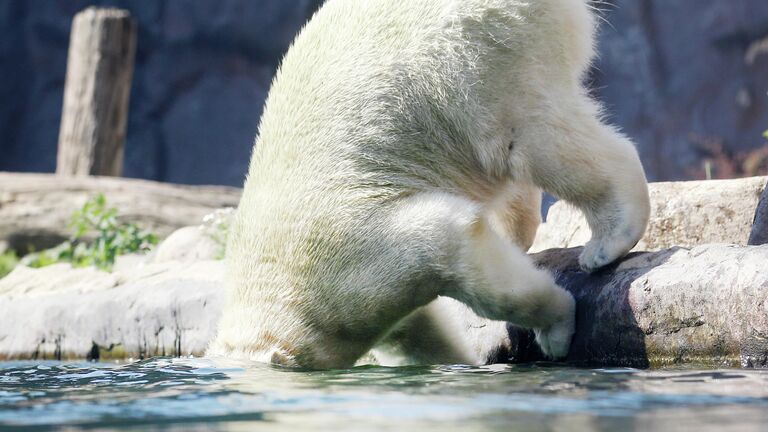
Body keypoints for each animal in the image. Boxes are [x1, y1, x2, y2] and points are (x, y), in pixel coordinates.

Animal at [207, 0, 652, 368]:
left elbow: (447, 239)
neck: (271, 279)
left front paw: (555, 331)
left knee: (532, 140)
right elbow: (416, 329)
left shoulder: (347, 257)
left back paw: (607, 240)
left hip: (475, 62)